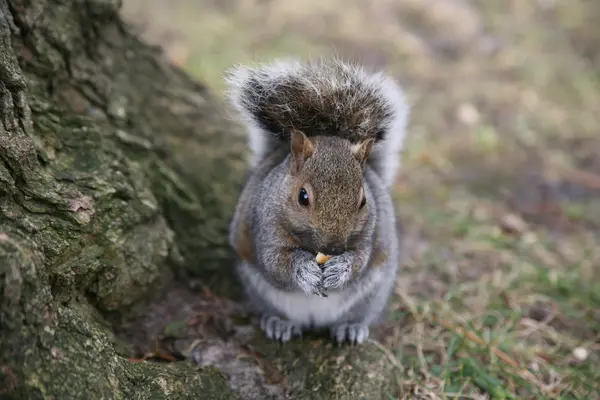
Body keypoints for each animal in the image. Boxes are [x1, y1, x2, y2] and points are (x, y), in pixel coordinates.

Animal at [224, 56, 408, 344]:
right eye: (303, 197)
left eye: (363, 201)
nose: (334, 248)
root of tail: (313, 321)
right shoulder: (264, 227)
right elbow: (275, 262)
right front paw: (304, 270)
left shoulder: (369, 233)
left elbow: (360, 259)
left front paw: (341, 268)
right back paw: (280, 323)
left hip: (371, 296)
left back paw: (351, 327)